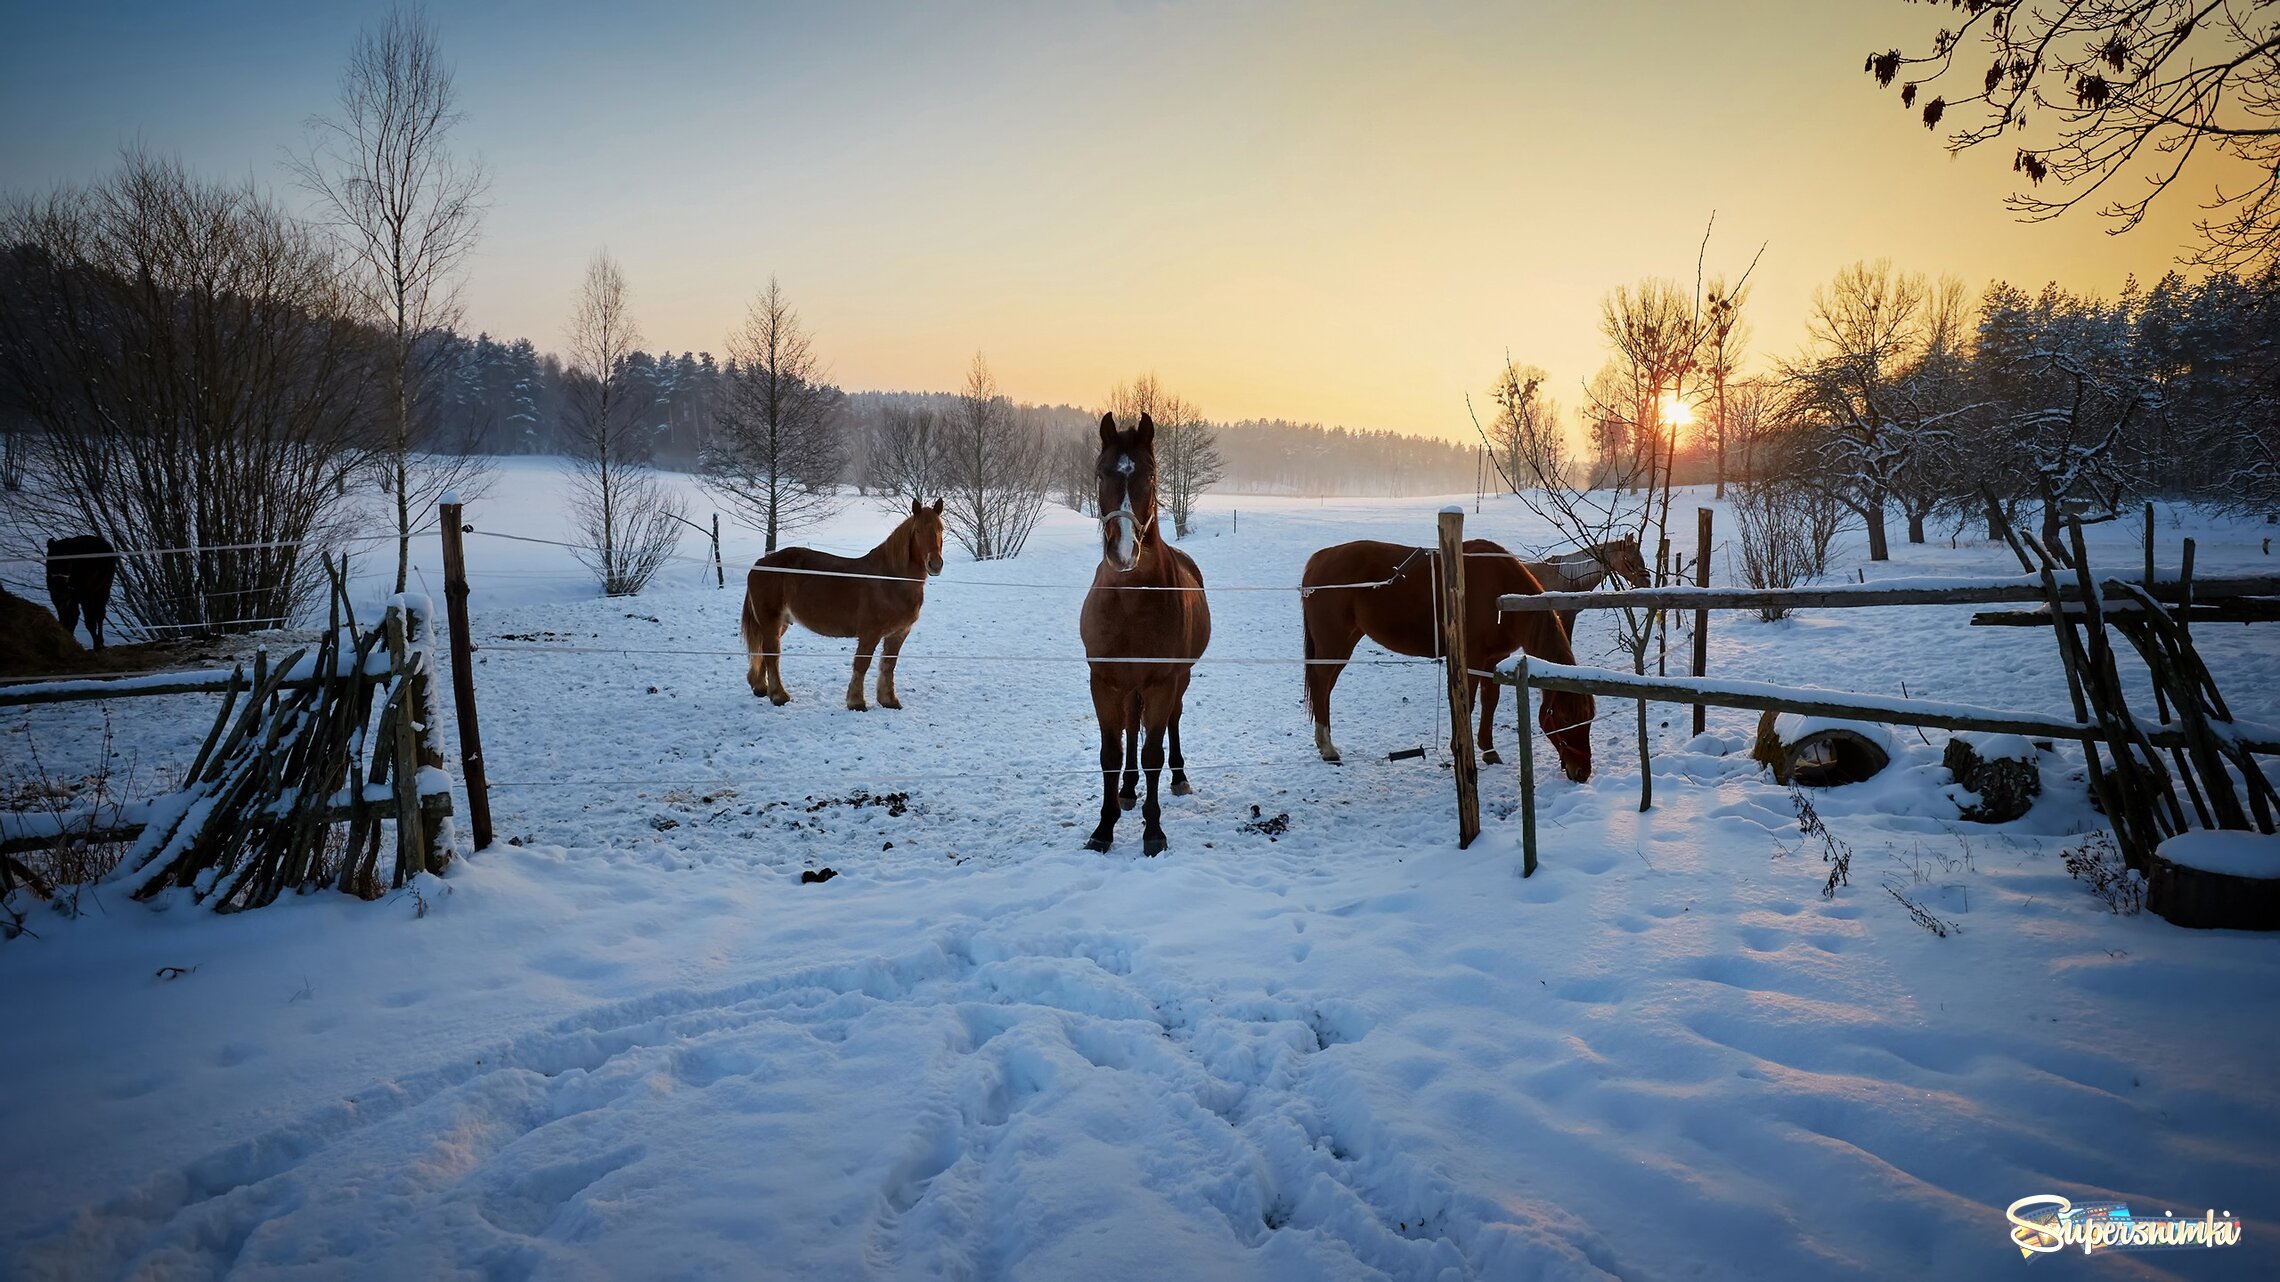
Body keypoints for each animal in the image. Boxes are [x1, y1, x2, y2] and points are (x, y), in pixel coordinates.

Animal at [734, 495, 939, 707]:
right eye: (918, 530)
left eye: (940, 529)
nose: (935, 564)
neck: (890, 580)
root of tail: (760, 564)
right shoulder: (870, 633)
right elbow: (862, 664)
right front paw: (856, 702)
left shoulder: (898, 633)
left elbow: (888, 665)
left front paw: (888, 700)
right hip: (770, 621)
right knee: (771, 654)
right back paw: (778, 696)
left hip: (780, 623)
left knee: (763, 652)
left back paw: (761, 687)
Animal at [1080, 408, 1212, 853]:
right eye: (1100, 472)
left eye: (1151, 475)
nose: (1123, 553)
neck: (1131, 603)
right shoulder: (1105, 682)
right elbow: (1110, 753)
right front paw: (1104, 828)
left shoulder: (1160, 681)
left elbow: (1153, 751)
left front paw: (1153, 832)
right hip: (1129, 687)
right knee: (1128, 725)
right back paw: (1127, 789)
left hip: (1179, 679)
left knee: (1173, 720)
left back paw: (1179, 777)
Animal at [1304, 536, 1605, 784]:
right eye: (1564, 717)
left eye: (1589, 717)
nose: (1582, 772)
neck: (1499, 588)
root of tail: (1318, 559)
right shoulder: (1471, 658)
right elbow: (1467, 703)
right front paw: (1460, 751)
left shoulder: (1495, 657)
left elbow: (1490, 701)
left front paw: (1489, 750)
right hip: (1334, 643)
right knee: (1321, 684)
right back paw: (1328, 749)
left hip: (1345, 642)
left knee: (1325, 687)